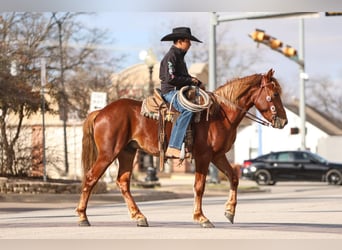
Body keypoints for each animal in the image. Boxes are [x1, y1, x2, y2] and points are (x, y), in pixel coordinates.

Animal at [76, 69, 288, 229]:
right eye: (275, 94)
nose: (284, 121)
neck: (219, 114)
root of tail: (100, 112)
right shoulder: (204, 156)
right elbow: (199, 186)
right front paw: (201, 217)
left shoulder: (218, 156)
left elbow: (233, 178)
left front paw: (230, 211)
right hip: (108, 153)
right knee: (91, 178)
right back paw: (82, 217)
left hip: (127, 152)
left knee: (123, 182)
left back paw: (139, 217)